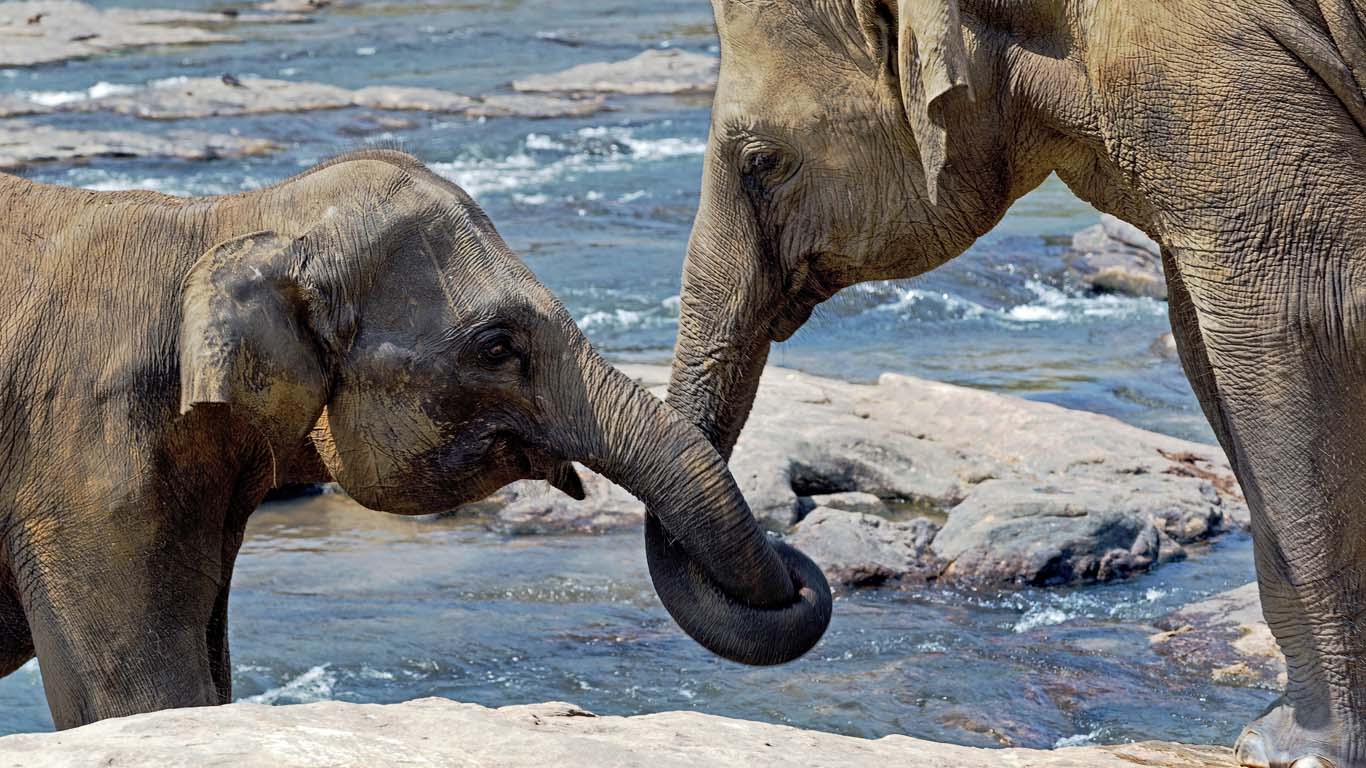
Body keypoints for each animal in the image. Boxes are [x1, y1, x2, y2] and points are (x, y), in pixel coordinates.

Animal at [669, 1, 1366, 765]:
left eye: (762, 160)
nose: (797, 568)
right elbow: (1202, 344)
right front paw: (1273, 740)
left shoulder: (1220, 72)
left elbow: (1293, 317)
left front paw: (1303, 750)